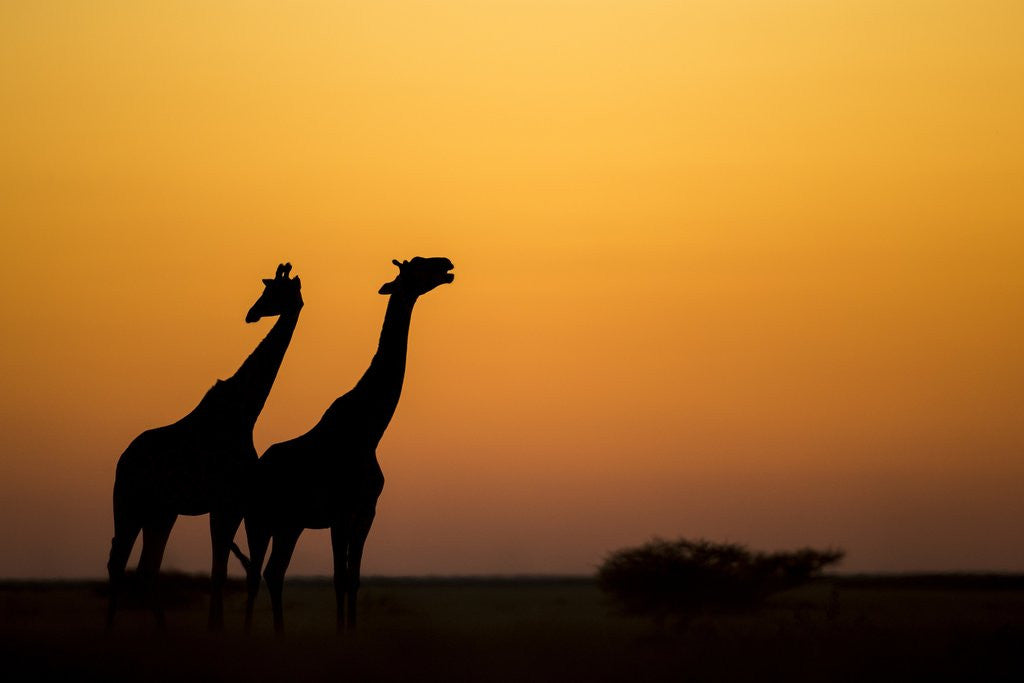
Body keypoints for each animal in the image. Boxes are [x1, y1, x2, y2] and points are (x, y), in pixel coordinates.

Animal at [106, 263, 303, 631]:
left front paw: (216, 628)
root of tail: (122, 460)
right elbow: (218, 571)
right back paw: (111, 628)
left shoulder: (232, 503)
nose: (252, 314)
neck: (244, 412)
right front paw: (215, 629)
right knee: (117, 560)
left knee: (145, 566)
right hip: (129, 503)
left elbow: (220, 571)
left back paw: (163, 630)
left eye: (275, 291)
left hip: (161, 511)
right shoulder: (224, 502)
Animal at [242, 257, 454, 633]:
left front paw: (352, 632)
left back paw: (280, 632)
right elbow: (339, 578)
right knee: (255, 575)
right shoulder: (339, 512)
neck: (368, 431)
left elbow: (352, 578)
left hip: (289, 525)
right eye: (416, 265)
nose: (446, 263)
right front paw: (341, 633)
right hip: (259, 520)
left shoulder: (366, 511)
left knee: (273, 572)